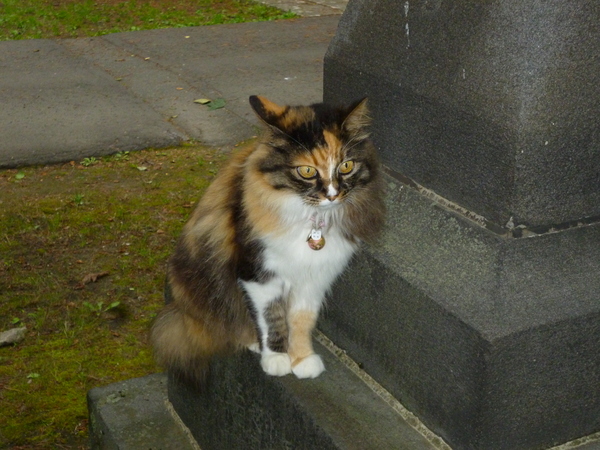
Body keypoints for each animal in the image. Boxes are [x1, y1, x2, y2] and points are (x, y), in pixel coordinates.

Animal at [150, 95, 384, 384]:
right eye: (307, 171)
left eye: (346, 166)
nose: (332, 195)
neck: (312, 222)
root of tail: (181, 312)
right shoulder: (259, 274)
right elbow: (272, 317)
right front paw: (276, 358)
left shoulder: (314, 278)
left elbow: (301, 321)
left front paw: (302, 359)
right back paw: (251, 341)